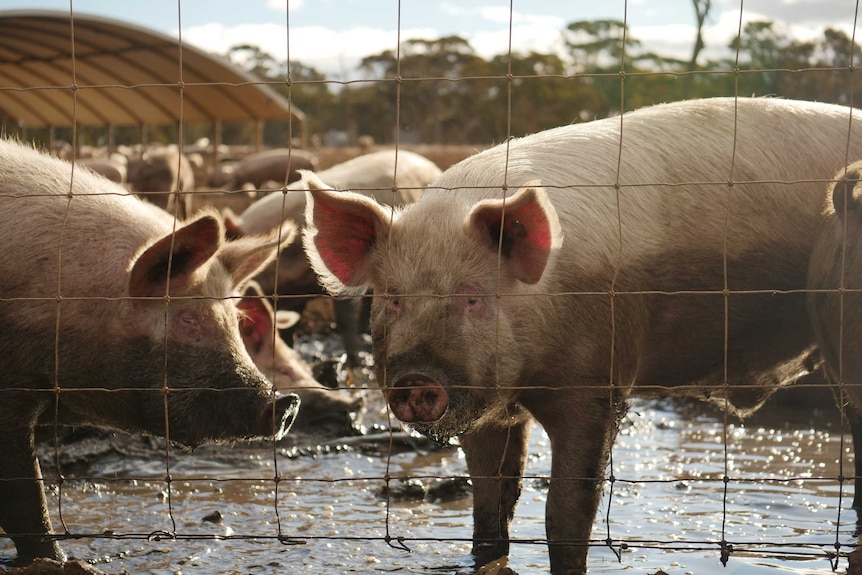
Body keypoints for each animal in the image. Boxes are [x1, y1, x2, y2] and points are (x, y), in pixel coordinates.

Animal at [304, 99, 862, 575]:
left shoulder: (596, 382)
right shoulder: (484, 404)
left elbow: (567, 509)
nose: (416, 379)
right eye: (393, 298)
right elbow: (490, 500)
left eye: (472, 297)